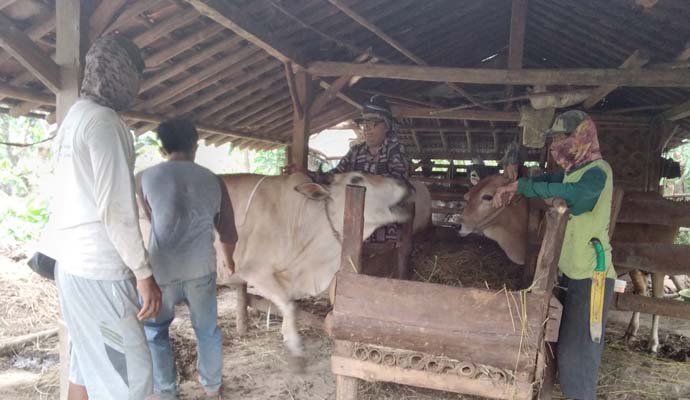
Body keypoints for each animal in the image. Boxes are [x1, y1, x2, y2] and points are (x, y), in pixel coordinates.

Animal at [220, 172, 412, 368]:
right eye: (356, 179)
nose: (404, 182)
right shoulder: (254, 270)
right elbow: (289, 305)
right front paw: (295, 346)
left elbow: (288, 304)